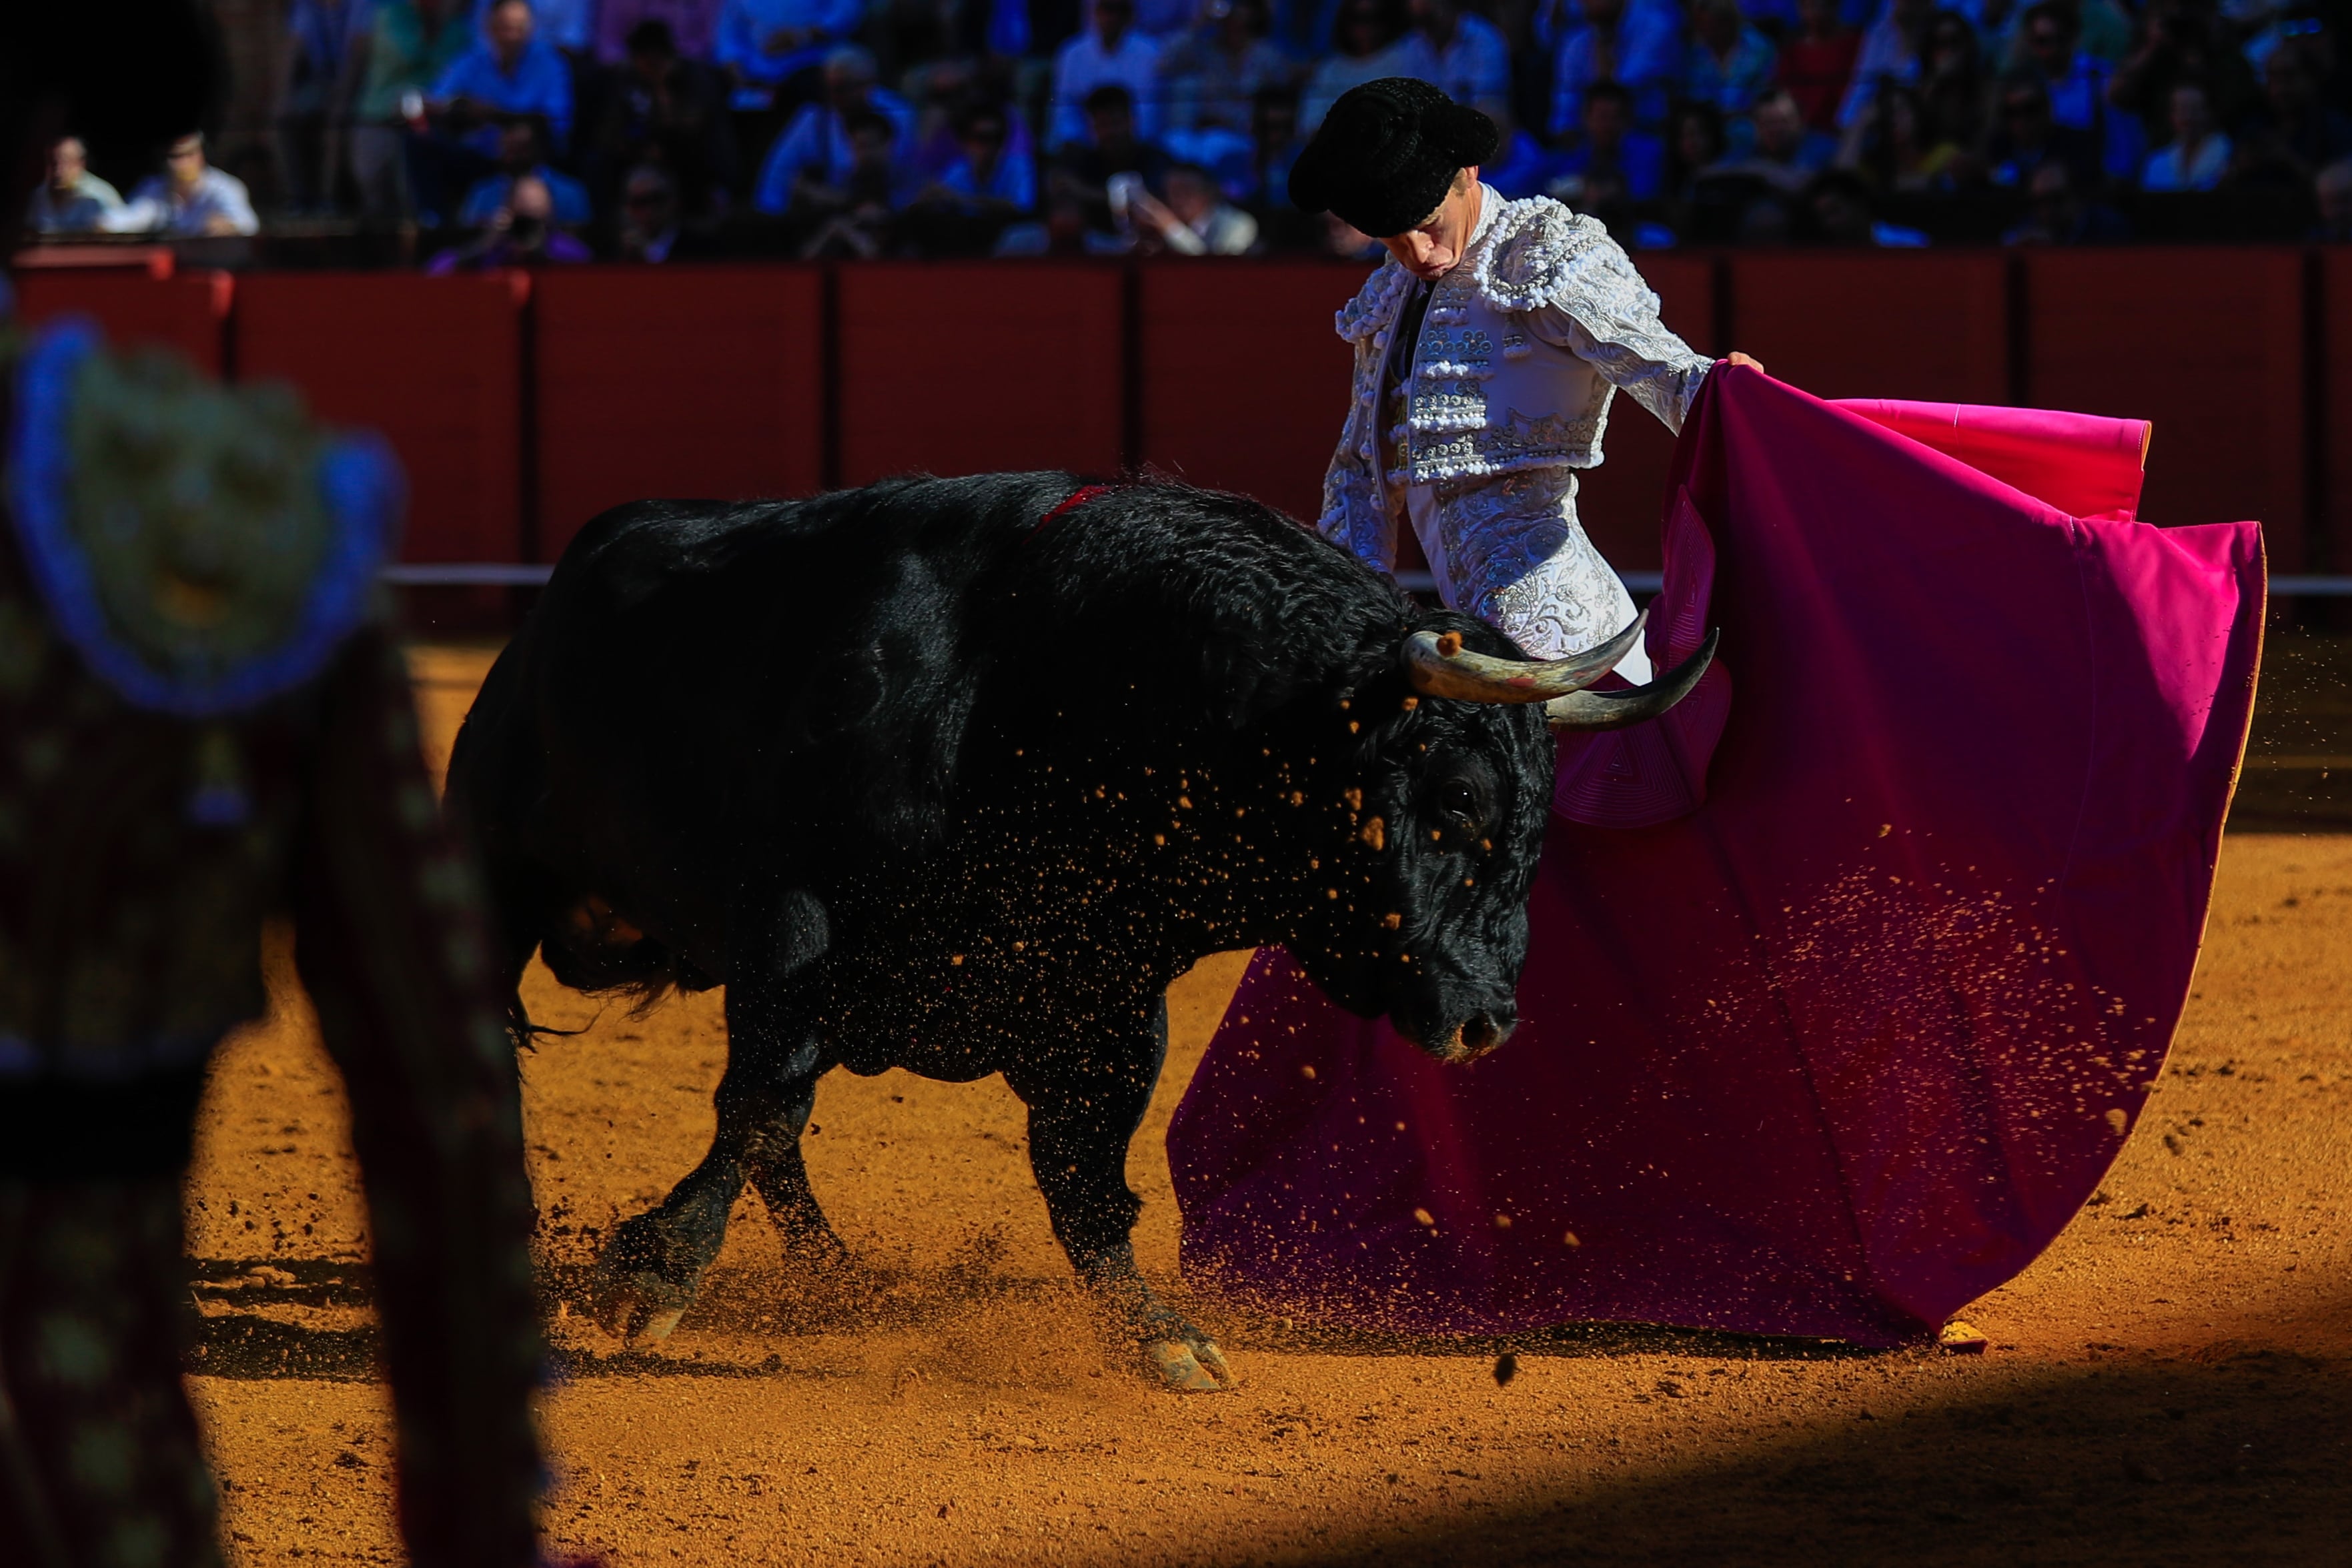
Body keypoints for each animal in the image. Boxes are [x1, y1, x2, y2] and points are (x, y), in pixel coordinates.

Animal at [449, 472, 1722, 1391]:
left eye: (1540, 821)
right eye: (1453, 801)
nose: (1486, 1022)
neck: (1050, 683)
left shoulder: (1110, 995)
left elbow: (1084, 1174)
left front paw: (1160, 1335)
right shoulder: (789, 928)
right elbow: (761, 1103)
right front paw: (650, 1278)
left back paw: (836, 1278)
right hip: (493, 870)